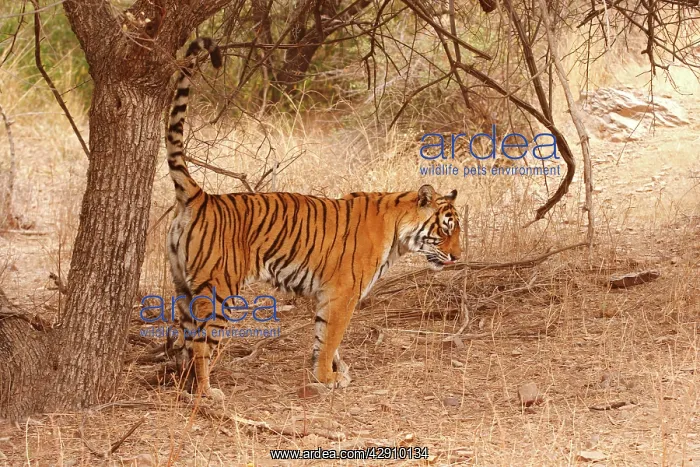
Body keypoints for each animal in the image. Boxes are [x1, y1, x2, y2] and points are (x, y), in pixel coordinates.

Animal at [166, 38, 462, 401]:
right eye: (446, 228)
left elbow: (324, 338)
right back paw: (207, 392)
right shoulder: (343, 293)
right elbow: (332, 336)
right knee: (201, 344)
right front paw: (327, 377)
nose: (457, 257)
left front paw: (333, 372)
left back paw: (183, 383)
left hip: (183, 288)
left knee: (185, 339)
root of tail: (200, 196)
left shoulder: (325, 294)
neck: (398, 234)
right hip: (219, 290)